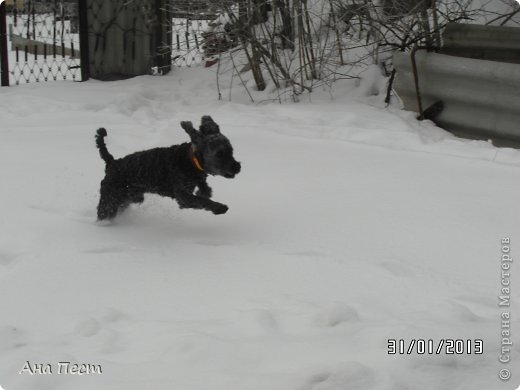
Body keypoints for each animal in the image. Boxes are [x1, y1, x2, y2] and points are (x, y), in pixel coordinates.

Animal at [94, 115, 241, 219]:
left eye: (231, 150)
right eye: (219, 154)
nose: (237, 167)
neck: (190, 160)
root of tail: (112, 162)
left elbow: (204, 189)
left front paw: (204, 191)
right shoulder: (183, 197)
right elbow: (202, 201)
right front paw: (219, 207)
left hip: (126, 199)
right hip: (110, 201)